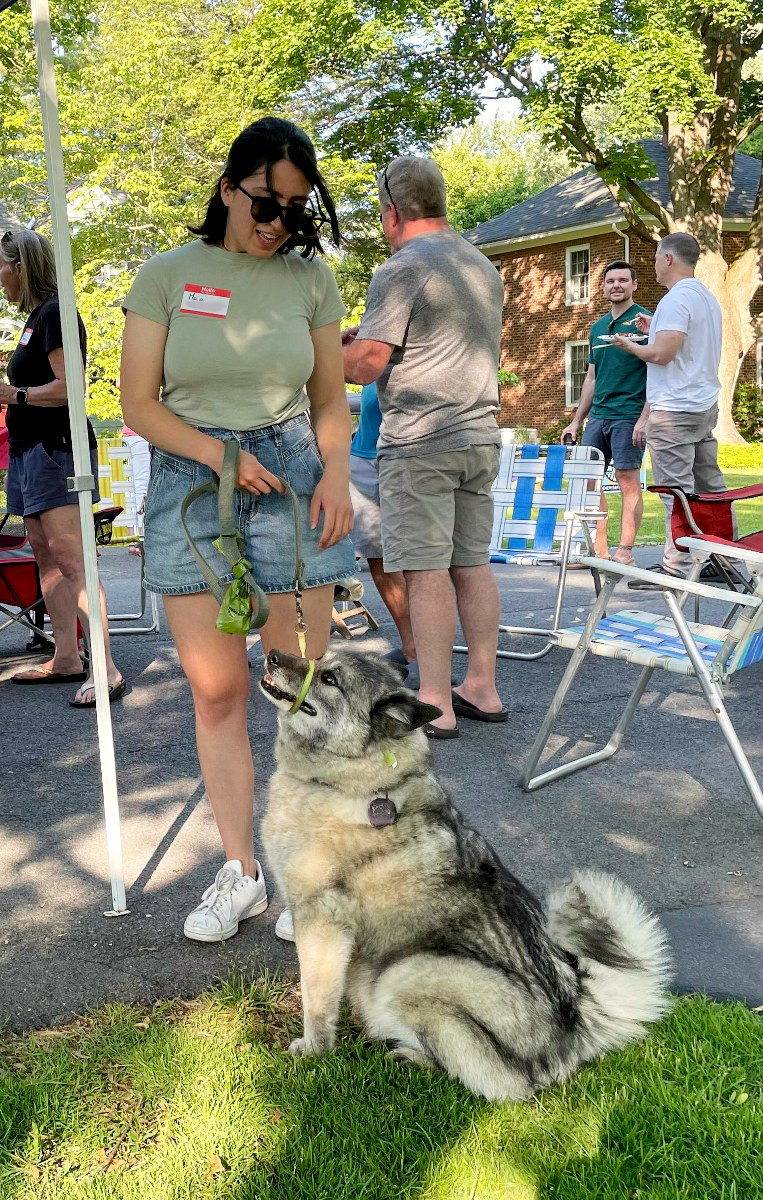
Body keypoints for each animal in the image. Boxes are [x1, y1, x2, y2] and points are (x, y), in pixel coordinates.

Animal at [259, 652, 671, 1099]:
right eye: (319, 658)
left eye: (330, 679)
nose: (273, 655)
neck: (345, 781)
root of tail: (575, 1024)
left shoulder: (321, 917)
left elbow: (316, 998)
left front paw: (314, 1049)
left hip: (408, 974)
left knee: (498, 1083)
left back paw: (411, 1057)